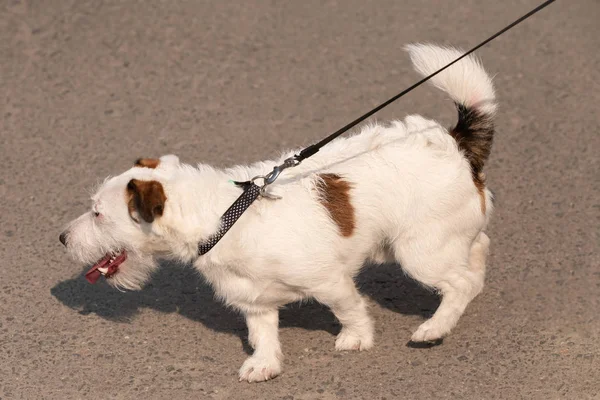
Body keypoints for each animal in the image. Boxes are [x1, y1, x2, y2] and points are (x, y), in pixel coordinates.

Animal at [59, 43, 496, 382]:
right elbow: (263, 334)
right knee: (477, 252)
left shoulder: (330, 282)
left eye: (97, 214)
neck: (227, 217)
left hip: (419, 251)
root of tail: (453, 142)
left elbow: (349, 309)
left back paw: (435, 326)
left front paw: (356, 338)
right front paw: (264, 363)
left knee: (459, 283)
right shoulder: (254, 302)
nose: (62, 238)